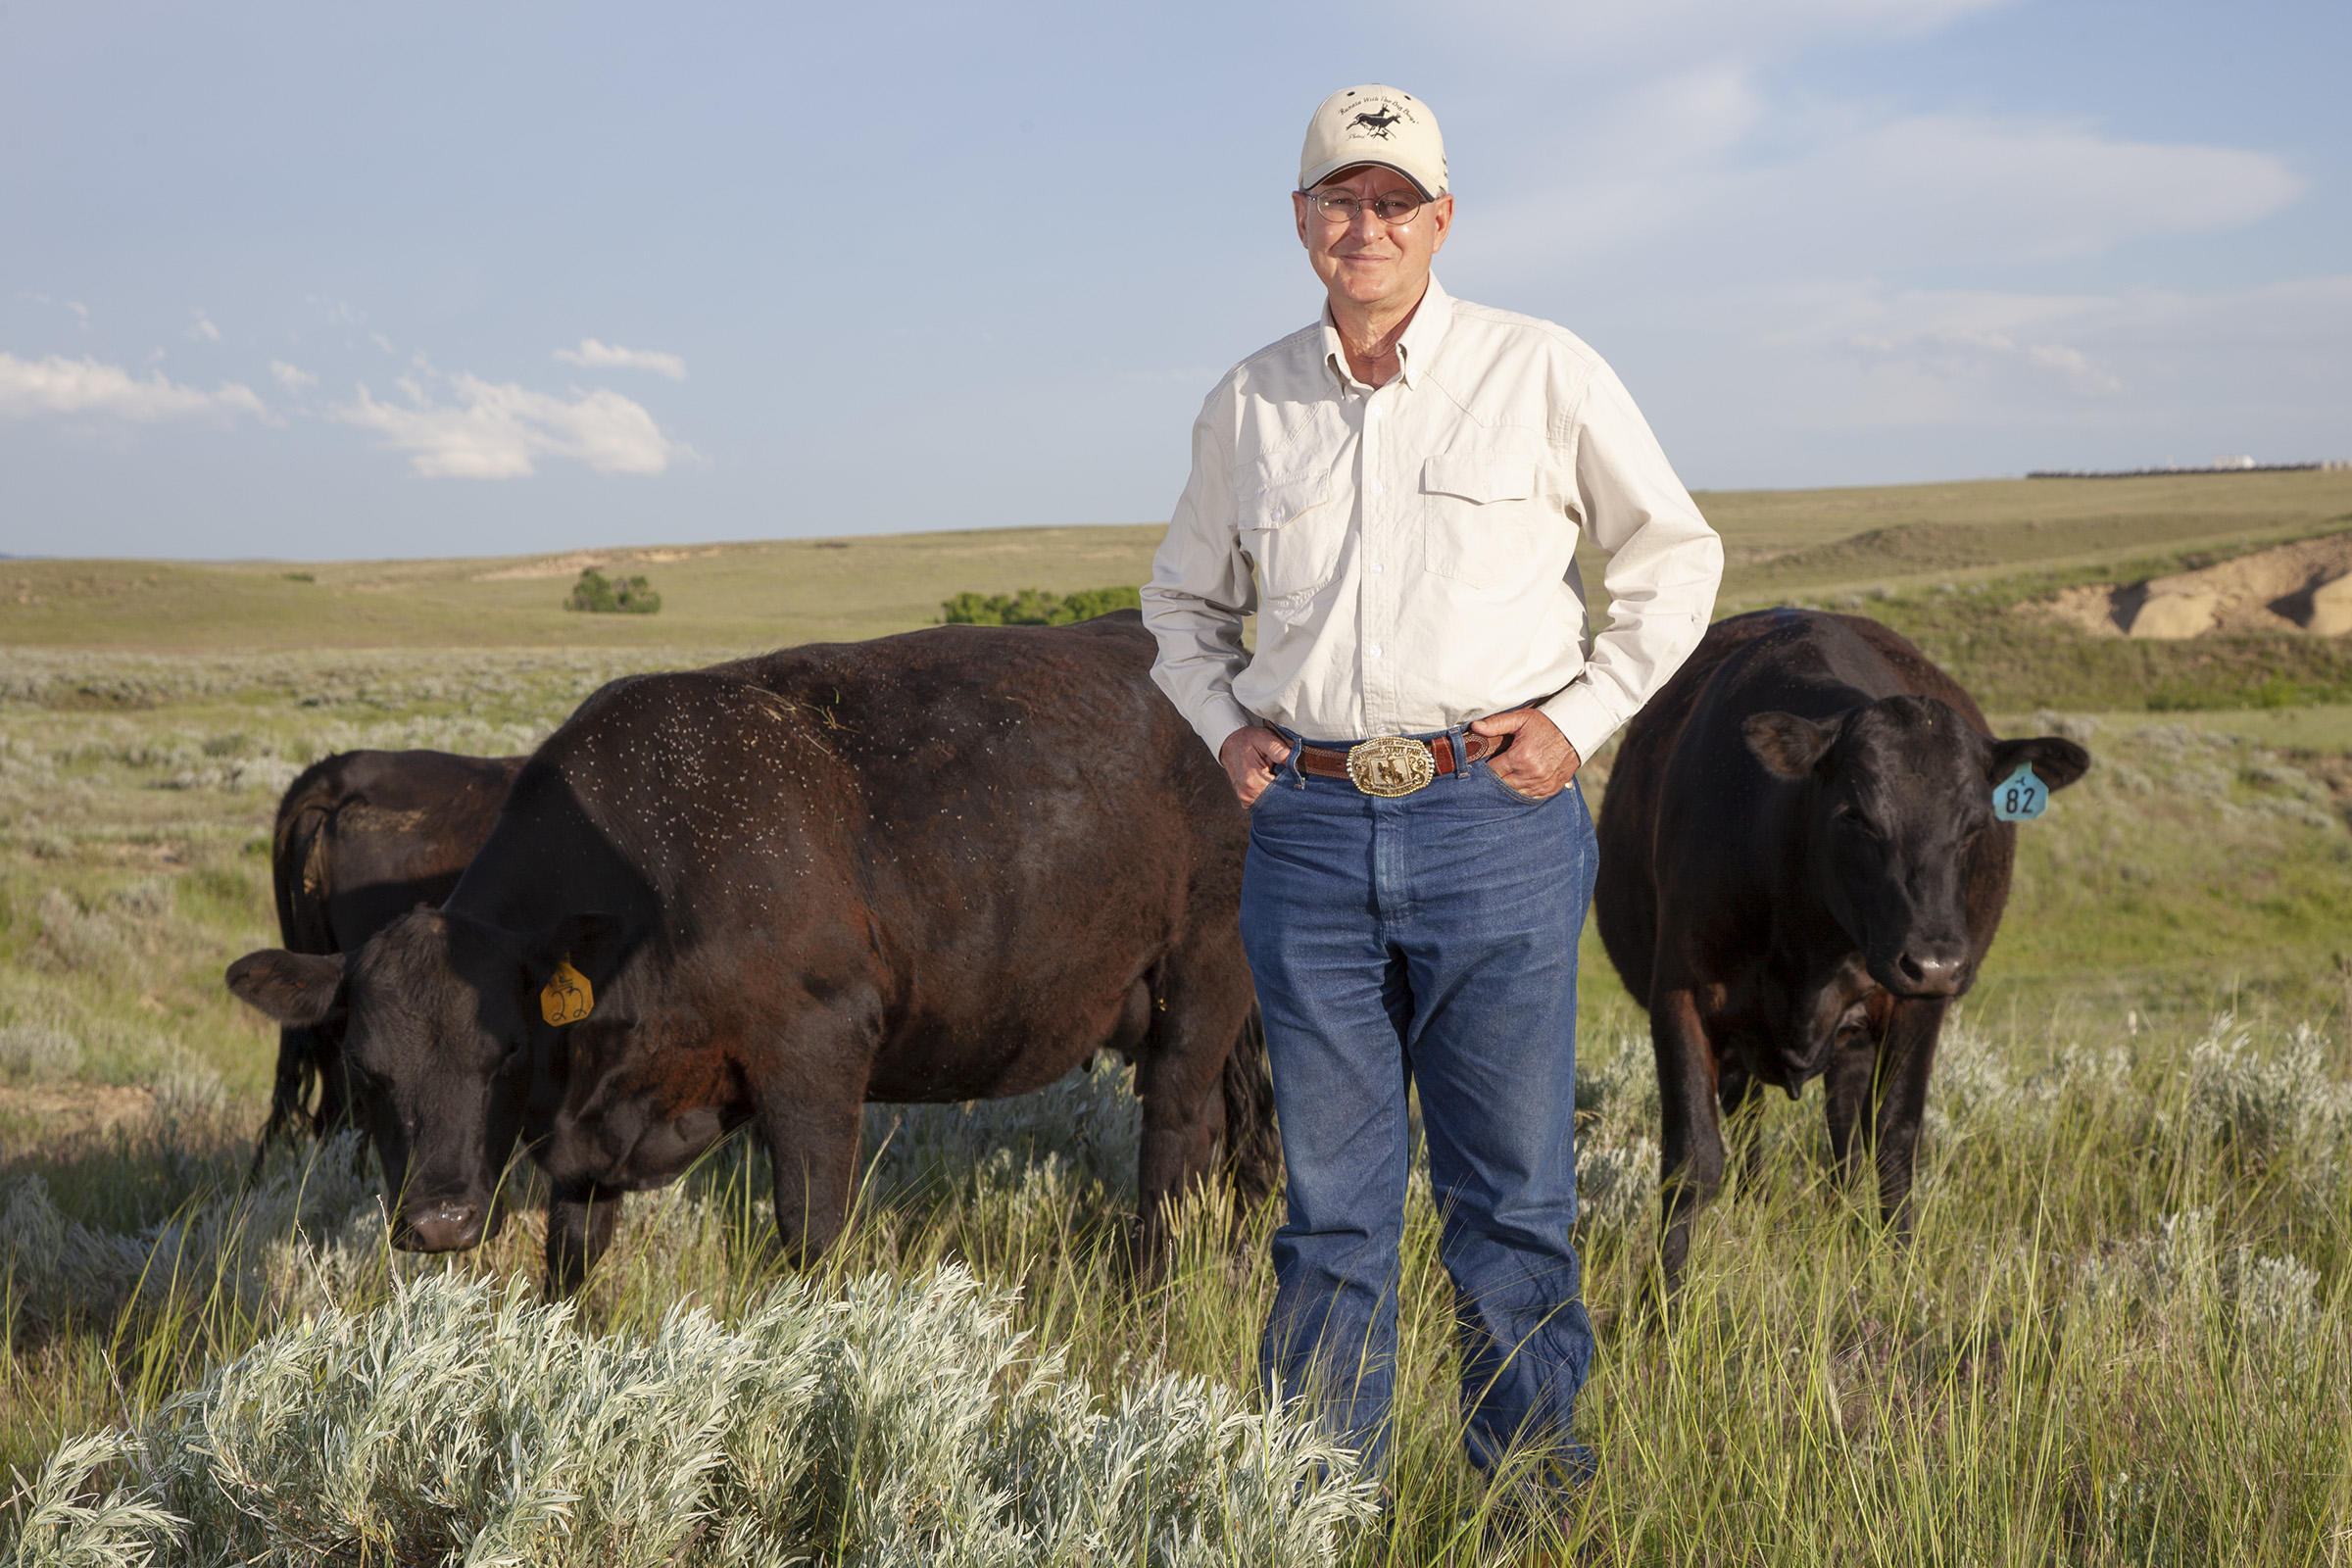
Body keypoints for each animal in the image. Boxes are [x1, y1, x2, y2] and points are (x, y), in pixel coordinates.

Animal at [1590, 611, 2088, 1288]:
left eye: (1975, 822)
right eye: (1856, 815)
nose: (1935, 962)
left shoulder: (1916, 1005)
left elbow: (1895, 1139)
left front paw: (1898, 1273)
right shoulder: (1681, 994)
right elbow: (1691, 1157)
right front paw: (1664, 1295)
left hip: (1856, 1033)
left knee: (1844, 1133)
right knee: (1751, 1119)